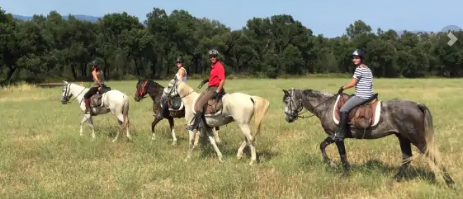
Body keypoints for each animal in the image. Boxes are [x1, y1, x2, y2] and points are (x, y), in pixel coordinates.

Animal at [280, 87, 454, 187]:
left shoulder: (335, 136)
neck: (326, 106)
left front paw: (337, 167)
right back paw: (393, 180)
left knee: (432, 155)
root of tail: (416, 105)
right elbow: (327, 148)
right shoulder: (334, 137)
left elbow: (335, 152)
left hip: (416, 138)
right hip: (402, 137)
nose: (288, 118)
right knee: (407, 158)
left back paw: (450, 182)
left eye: (287, 101)